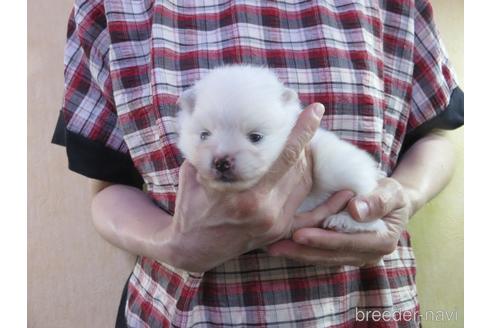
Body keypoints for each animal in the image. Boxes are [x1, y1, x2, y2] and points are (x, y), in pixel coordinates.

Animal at [175, 64, 386, 233]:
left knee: (366, 205)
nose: (221, 162)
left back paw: (344, 221)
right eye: (204, 135)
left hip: (338, 169)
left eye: (256, 137)